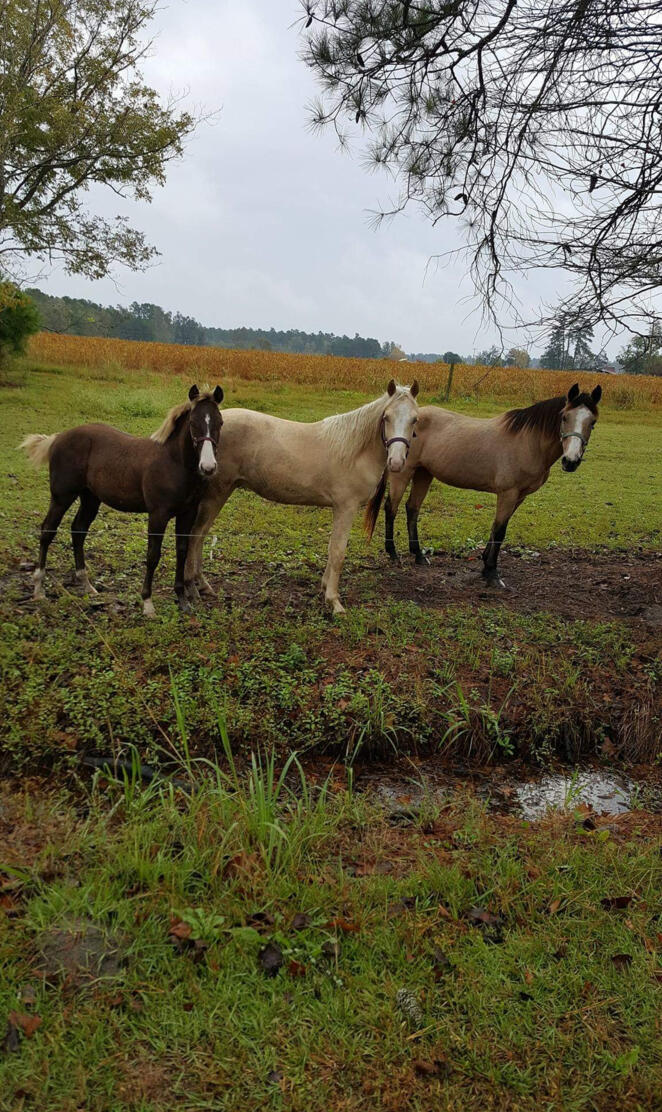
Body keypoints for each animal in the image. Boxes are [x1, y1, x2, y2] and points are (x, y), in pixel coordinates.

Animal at [19, 384, 224, 615]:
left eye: (220, 422)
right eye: (192, 423)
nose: (208, 467)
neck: (174, 463)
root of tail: (58, 437)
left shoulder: (187, 513)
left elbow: (182, 550)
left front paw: (182, 599)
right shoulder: (158, 514)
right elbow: (153, 555)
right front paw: (147, 603)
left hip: (90, 498)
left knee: (78, 530)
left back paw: (87, 585)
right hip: (62, 497)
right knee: (47, 531)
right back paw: (38, 588)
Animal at [166, 379, 419, 614]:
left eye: (415, 419)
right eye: (386, 417)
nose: (396, 462)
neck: (354, 451)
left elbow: (331, 549)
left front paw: (325, 589)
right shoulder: (345, 507)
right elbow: (338, 552)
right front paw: (334, 602)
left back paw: (202, 586)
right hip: (217, 494)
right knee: (197, 535)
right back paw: (194, 587)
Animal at [365, 383, 602, 588]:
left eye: (592, 422)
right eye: (564, 417)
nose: (570, 461)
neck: (528, 442)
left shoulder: (520, 496)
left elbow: (497, 528)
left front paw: (484, 562)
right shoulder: (508, 493)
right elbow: (500, 530)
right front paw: (491, 573)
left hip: (425, 474)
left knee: (412, 508)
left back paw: (419, 555)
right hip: (402, 471)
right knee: (391, 507)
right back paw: (393, 553)